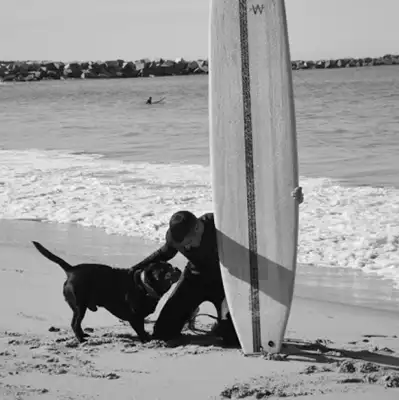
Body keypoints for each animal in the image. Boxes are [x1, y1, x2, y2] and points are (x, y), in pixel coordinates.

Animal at [31, 241, 181, 344]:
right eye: (163, 271)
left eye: (169, 265)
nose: (176, 268)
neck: (144, 285)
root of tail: (71, 270)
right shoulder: (135, 317)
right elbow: (140, 329)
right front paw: (146, 339)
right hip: (80, 305)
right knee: (75, 323)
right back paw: (81, 339)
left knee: (77, 323)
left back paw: (83, 335)